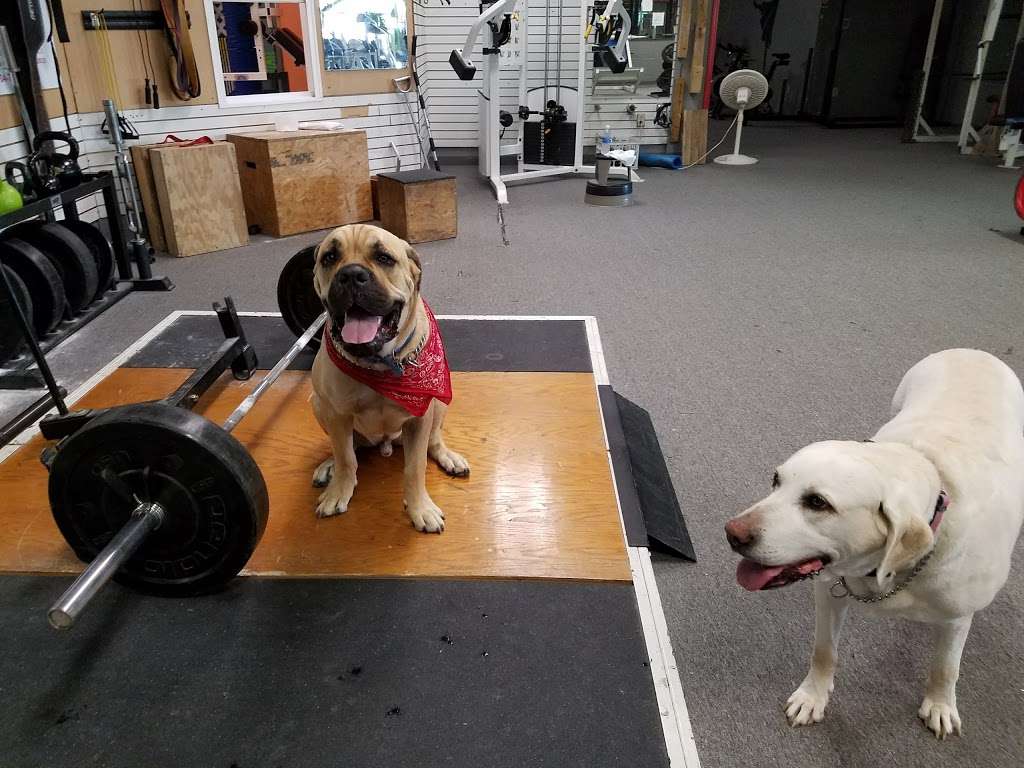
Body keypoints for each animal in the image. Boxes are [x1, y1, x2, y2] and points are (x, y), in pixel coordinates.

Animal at [307, 225, 468, 532]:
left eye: (384, 258)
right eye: (329, 257)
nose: (351, 274)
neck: (379, 363)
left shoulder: (420, 416)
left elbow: (415, 467)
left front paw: (420, 508)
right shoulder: (337, 413)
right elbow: (346, 458)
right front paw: (338, 490)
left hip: (439, 404)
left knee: (434, 441)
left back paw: (448, 457)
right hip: (318, 404)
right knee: (349, 447)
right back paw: (328, 465)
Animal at [724, 350, 1019, 741]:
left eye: (817, 502)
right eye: (776, 480)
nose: (732, 533)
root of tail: (973, 351)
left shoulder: (958, 617)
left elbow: (946, 668)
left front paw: (940, 705)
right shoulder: (827, 592)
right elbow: (824, 652)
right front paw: (812, 697)